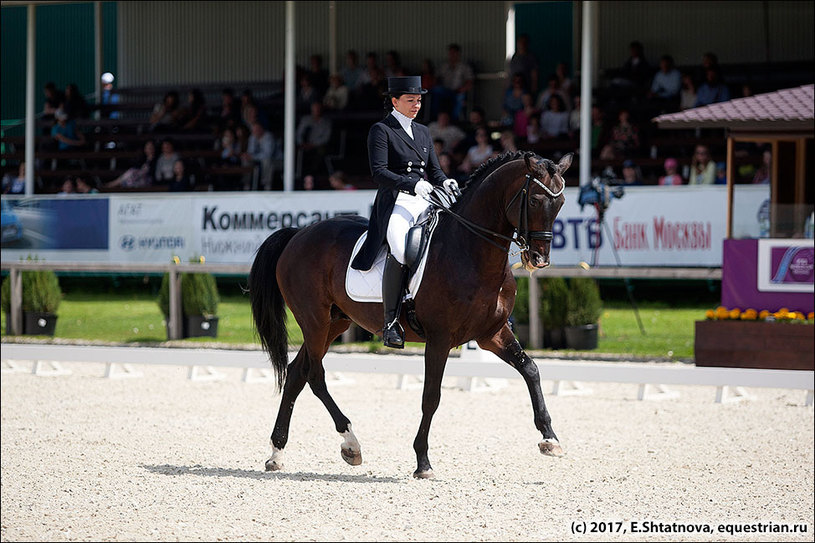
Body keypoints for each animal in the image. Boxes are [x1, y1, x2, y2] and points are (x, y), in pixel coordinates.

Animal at [249, 151, 572, 478]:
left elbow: (530, 369)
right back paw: (351, 444)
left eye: (560, 203)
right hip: (314, 319)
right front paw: (422, 462)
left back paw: (277, 453)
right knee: (315, 375)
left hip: (334, 323)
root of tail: (298, 234)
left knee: (296, 374)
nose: (539, 259)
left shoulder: (491, 333)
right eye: (534, 201)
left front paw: (550, 439)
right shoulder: (440, 339)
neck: (469, 251)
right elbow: (431, 397)